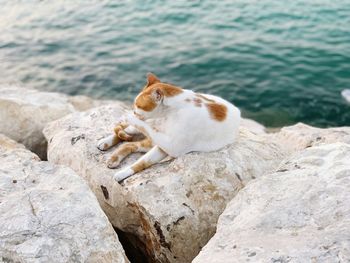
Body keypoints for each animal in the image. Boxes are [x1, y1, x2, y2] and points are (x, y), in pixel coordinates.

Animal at [98, 73, 241, 183]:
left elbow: (142, 162)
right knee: (126, 134)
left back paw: (114, 157)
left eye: (138, 105)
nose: (133, 111)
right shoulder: (163, 141)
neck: (171, 112)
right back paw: (105, 142)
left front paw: (123, 173)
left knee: (130, 144)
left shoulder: (170, 146)